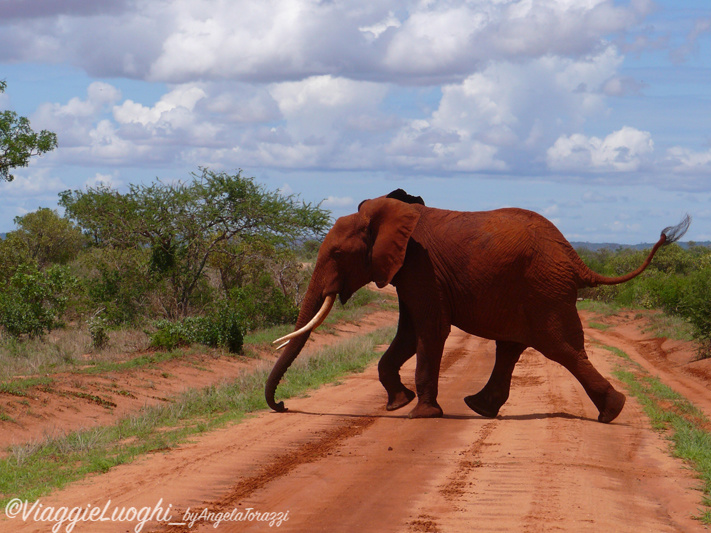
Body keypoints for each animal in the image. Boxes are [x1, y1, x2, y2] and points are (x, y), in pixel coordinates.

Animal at [266, 189, 688, 422]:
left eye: (337, 254)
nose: (283, 405)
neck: (386, 213)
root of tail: (575, 259)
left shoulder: (420, 266)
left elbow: (430, 329)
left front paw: (420, 414)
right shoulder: (408, 271)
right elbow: (409, 333)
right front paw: (397, 406)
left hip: (544, 289)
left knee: (561, 347)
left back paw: (611, 412)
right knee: (512, 347)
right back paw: (480, 407)